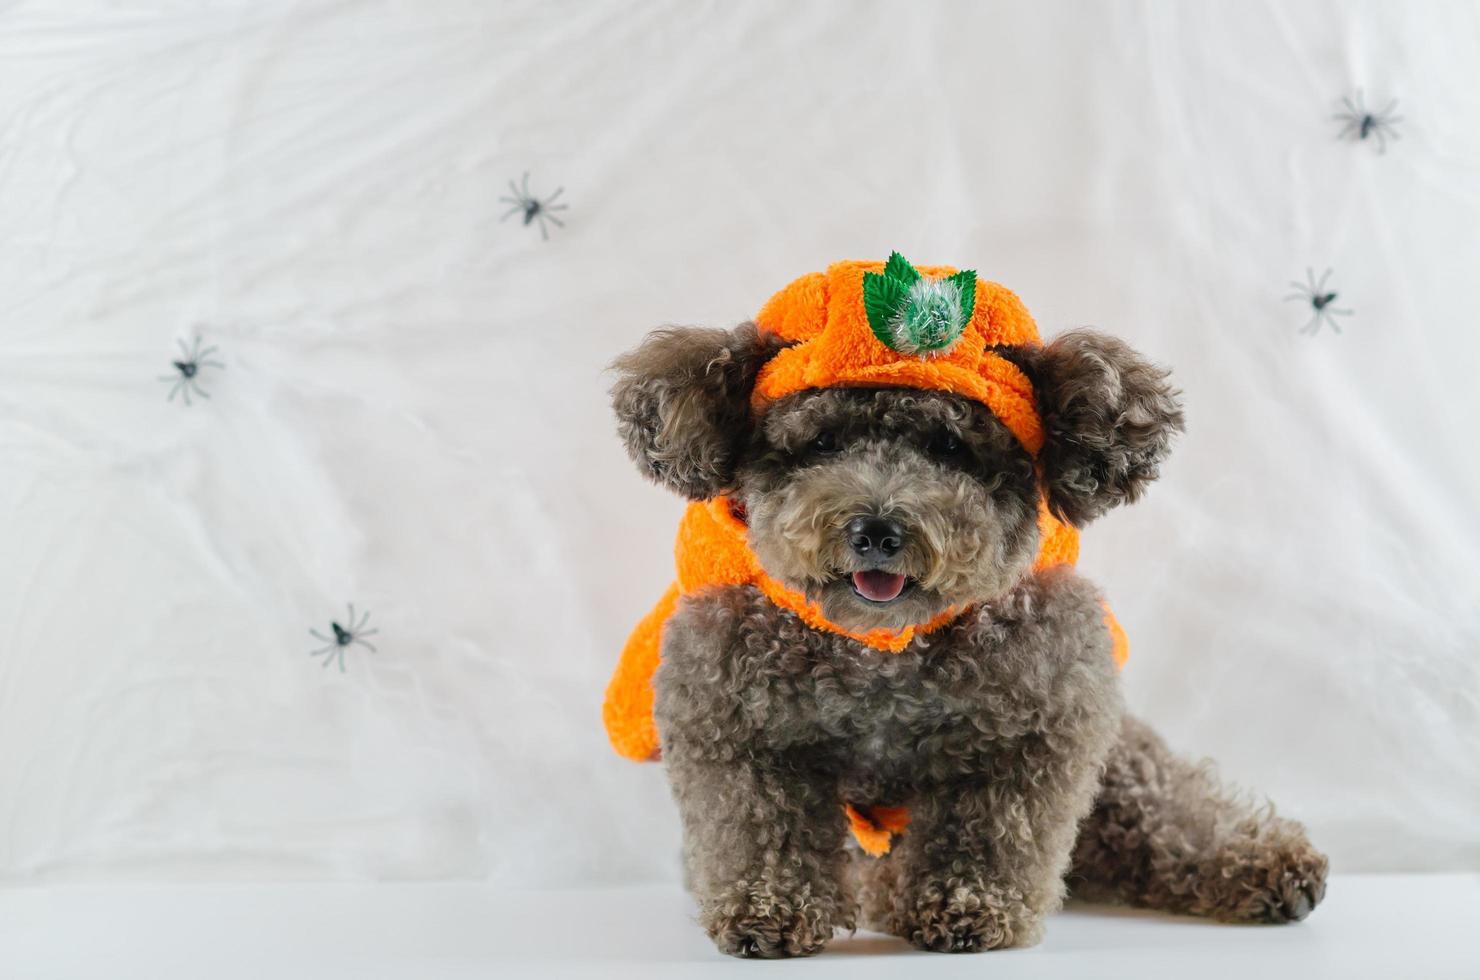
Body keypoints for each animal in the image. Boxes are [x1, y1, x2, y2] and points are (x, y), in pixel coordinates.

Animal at [600, 259, 1332, 959]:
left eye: (949, 448)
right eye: (822, 444)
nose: (876, 530)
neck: (881, 650)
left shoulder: (1032, 725)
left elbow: (988, 834)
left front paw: (967, 908)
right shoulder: (737, 729)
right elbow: (760, 830)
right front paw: (768, 911)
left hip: (1124, 767)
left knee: (1167, 807)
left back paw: (1266, 863)